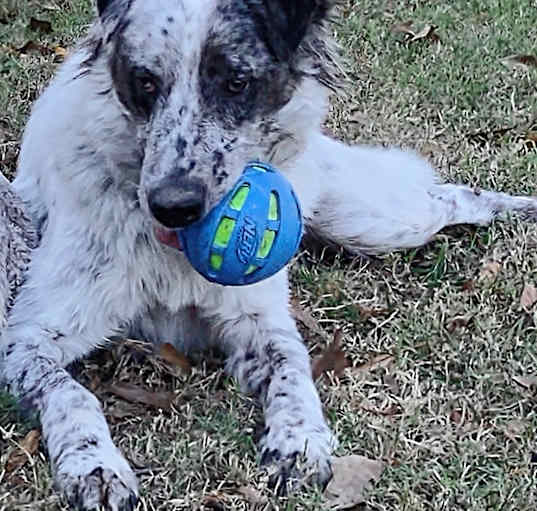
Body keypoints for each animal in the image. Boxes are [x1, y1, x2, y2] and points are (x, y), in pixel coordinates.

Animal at [1, 0, 536, 510]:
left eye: (236, 82)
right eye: (145, 82)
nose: (174, 205)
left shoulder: (259, 322)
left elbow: (292, 369)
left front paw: (300, 438)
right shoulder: (26, 341)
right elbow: (73, 395)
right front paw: (93, 466)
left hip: (377, 222)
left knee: (454, 197)